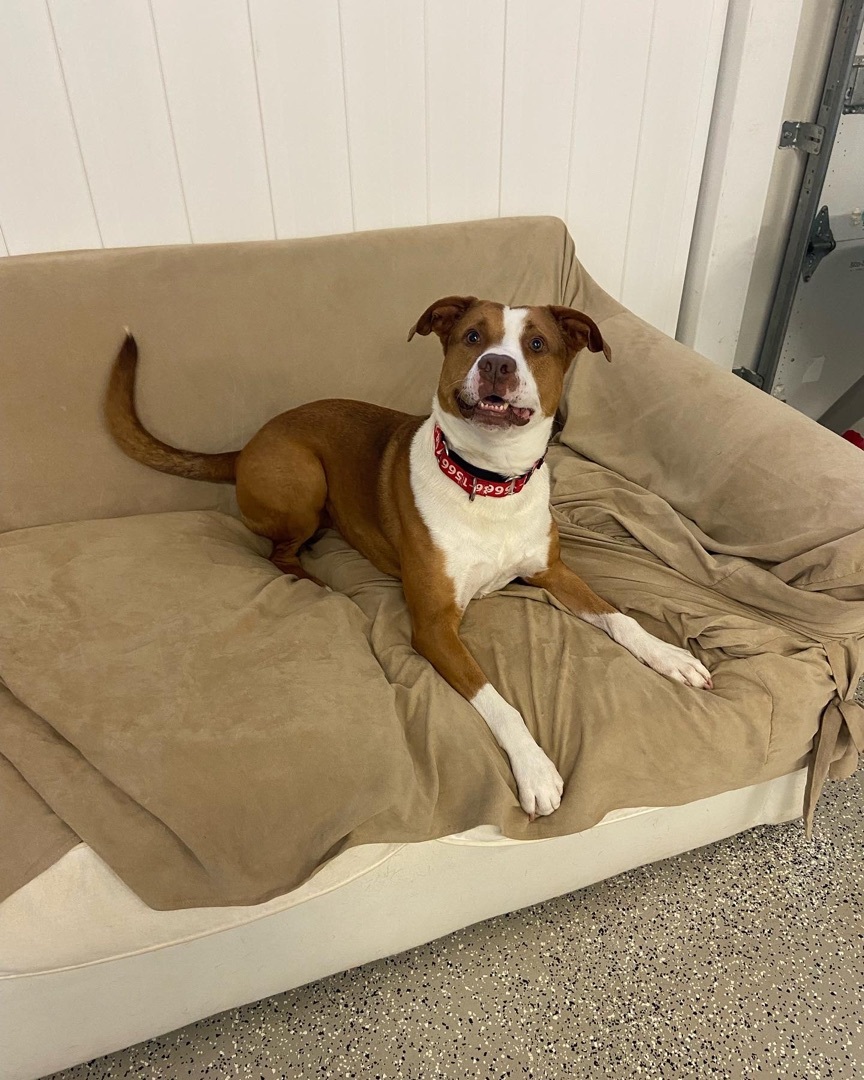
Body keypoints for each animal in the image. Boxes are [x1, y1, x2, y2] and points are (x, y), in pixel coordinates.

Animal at [104, 295, 712, 816]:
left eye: (536, 344)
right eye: (473, 336)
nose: (497, 365)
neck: (489, 481)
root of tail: (246, 444)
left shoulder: (554, 571)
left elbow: (619, 617)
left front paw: (670, 656)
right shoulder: (435, 626)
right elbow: (500, 701)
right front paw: (535, 769)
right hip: (302, 477)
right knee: (279, 551)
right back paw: (310, 574)